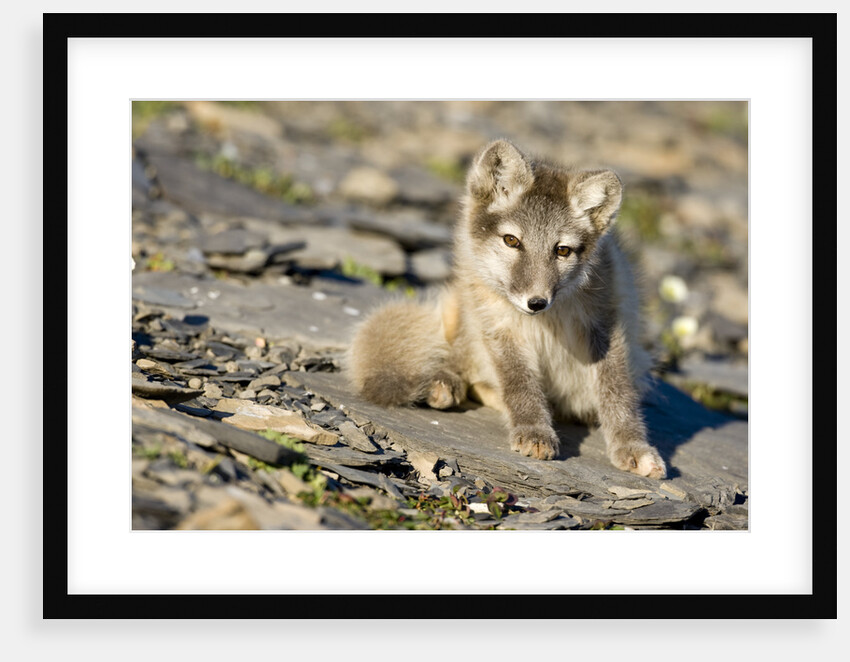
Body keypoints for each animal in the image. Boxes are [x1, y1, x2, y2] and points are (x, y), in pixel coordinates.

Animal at [347, 139, 666, 479]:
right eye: (512, 241)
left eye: (562, 250)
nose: (536, 302)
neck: (547, 320)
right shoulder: (498, 325)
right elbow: (519, 383)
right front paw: (534, 431)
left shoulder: (604, 325)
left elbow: (617, 393)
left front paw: (633, 448)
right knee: (460, 361)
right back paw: (445, 383)